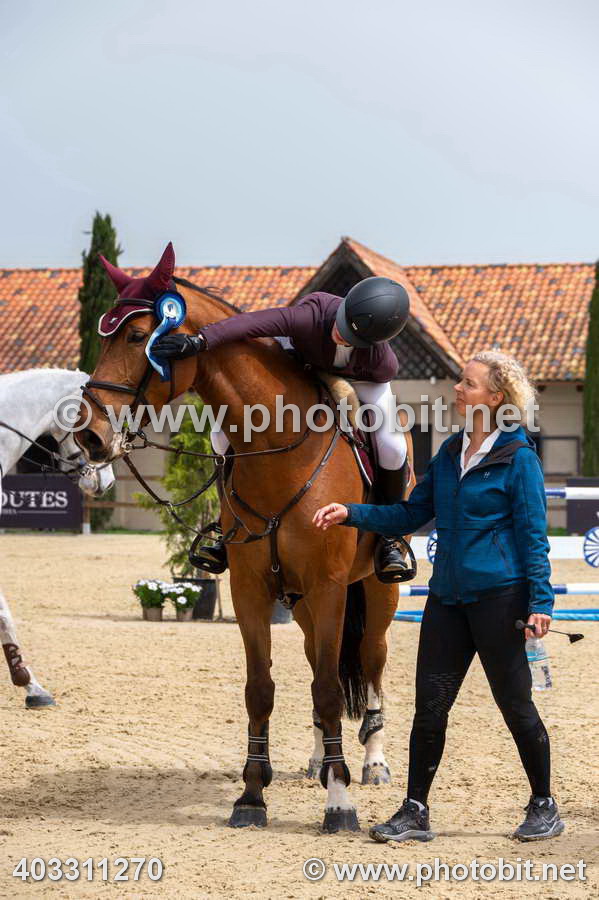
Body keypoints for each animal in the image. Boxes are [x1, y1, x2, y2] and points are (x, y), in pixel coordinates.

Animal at [76, 269, 416, 833]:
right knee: (316, 662)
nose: (89, 434)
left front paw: (339, 801)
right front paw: (253, 796)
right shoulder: (250, 590)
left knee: (370, 663)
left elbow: (330, 689)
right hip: (299, 604)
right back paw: (318, 760)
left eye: (136, 336)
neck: (280, 448)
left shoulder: (328, 587)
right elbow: (263, 689)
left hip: (370, 594)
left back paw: (373, 762)